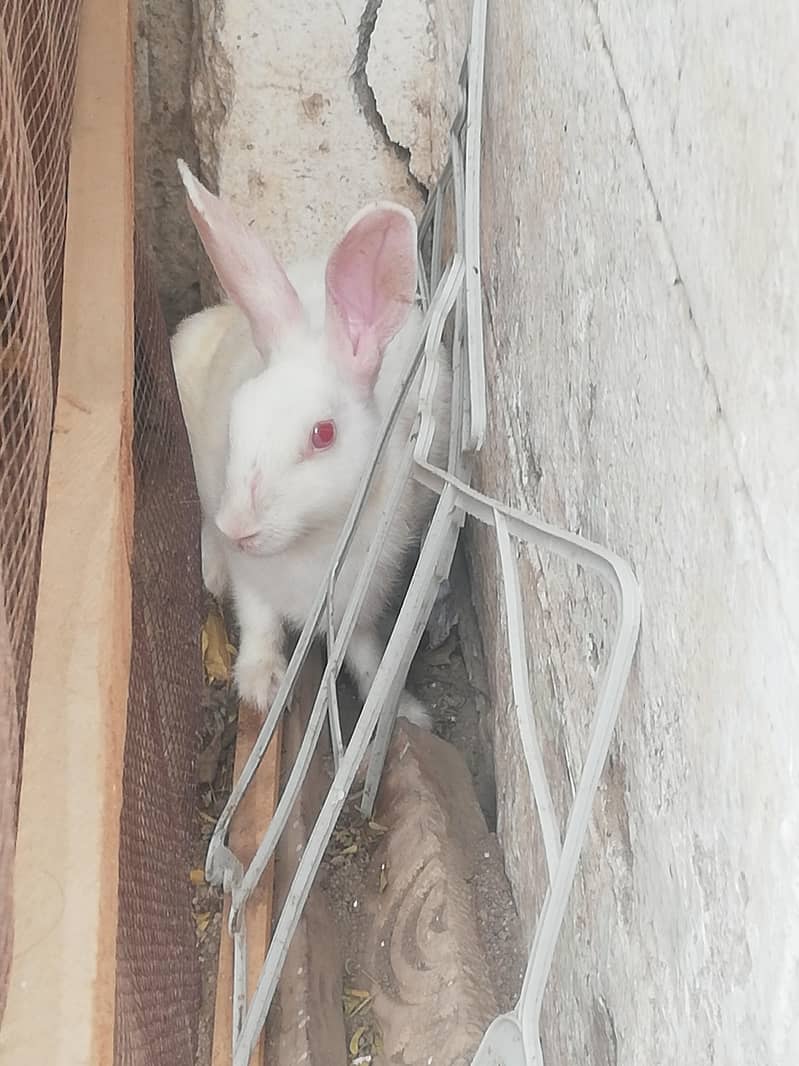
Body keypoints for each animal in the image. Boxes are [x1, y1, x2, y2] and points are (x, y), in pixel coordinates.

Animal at [171, 161, 451, 730]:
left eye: (322, 435)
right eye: (238, 415)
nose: (240, 527)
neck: (311, 539)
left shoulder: (364, 600)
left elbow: (364, 655)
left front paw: (404, 713)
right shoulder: (254, 582)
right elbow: (259, 623)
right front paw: (262, 684)